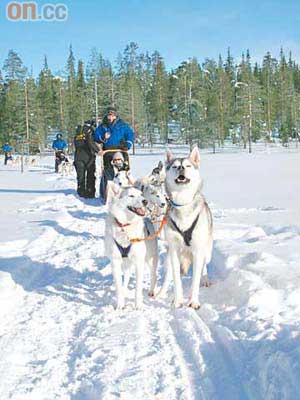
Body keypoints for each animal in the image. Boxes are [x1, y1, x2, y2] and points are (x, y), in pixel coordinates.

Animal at [159, 148, 213, 310]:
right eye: (175, 166)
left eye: (188, 166)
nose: (181, 168)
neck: (183, 203)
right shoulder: (174, 249)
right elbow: (176, 280)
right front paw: (177, 300)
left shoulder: (198, 250)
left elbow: (195, 280)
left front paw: (193, 301)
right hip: (169, 257)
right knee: (168, 275)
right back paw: (161, 293)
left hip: (206, 252)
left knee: (204, 267)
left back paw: (205, 279)